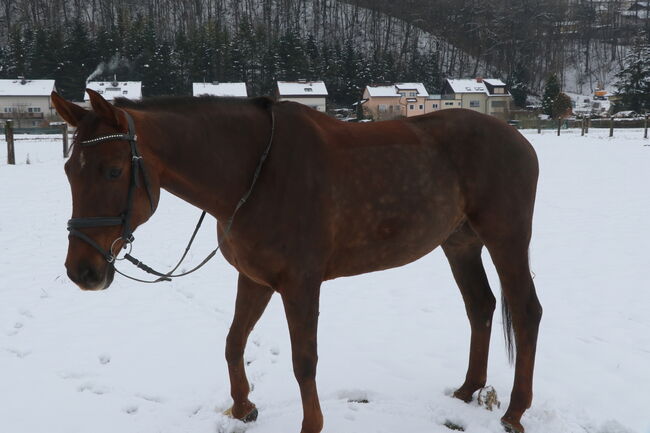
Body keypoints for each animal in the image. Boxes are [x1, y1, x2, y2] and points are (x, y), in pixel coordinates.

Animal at [50, 88, 540, 432]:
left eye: (114, 170)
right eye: (69, 170)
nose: (83, 271)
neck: (255, 173)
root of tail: (518, 138)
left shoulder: (300, 285)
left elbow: (304, 361)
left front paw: (310, 425)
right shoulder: (255, 279)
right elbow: (233, 341)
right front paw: (243, 408)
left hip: (506, 240)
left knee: (526, 312)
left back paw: (515, 413)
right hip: (460, 244)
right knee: (480, 306)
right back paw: (467, 390)